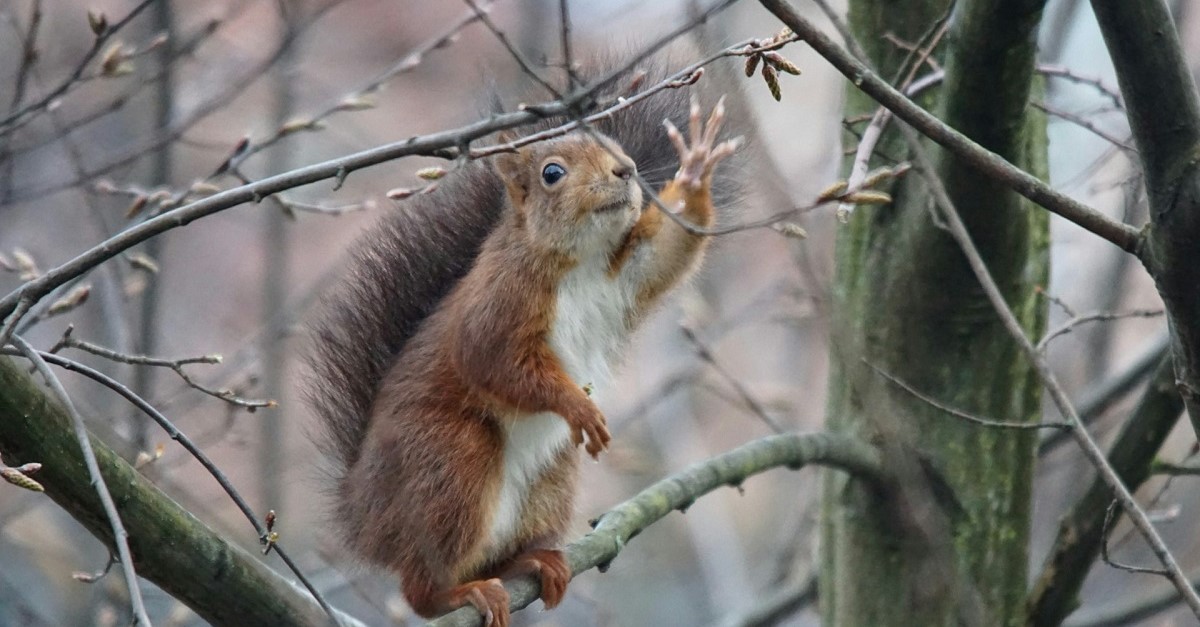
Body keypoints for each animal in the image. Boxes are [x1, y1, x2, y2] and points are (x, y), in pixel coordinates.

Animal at [306, 62, 742, 626]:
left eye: (614, 147)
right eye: (552, 173)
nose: (625, 170)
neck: (579, 261)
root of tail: (363, 520)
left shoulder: (628, 269)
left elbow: (668, 252)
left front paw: (694, 172)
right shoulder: (498, 303)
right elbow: (493, 359)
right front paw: (576, 405)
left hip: (551, 479)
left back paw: (533, 562)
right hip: (450, 461)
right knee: (421, 588)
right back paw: (459, 594)